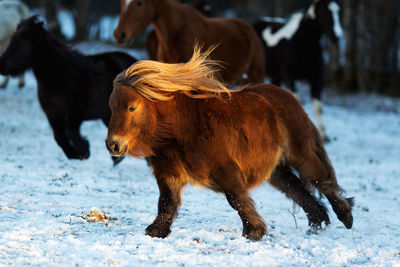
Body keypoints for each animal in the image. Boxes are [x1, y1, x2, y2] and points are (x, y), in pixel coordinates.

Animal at [0, 16, 138, 163]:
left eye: (22, 39)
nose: (1, 65)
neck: (61, 76)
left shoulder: (75, 113)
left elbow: (70, 132)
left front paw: (84, 150)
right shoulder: (53, 114)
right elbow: (59, 137)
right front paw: (74, 154)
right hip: (108, 116)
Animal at [104, 47, 352, 241]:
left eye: (132, 107)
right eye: (111, 107)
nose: (113, 145)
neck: (181, 131)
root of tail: (288, 97)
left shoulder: (226, 169)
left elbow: (236, 198)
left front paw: (254, 232)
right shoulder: (168, 174)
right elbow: (166, 202)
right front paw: (157, 231)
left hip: (301, 155)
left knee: (321, 180)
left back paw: (346, 216)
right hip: (277, 171)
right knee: (298, 190)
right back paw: (317, 223)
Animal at [255, 0, 342, 142]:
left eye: (338, 10)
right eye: (325, 11)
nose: (337, 36)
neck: (302, 42)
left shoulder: (317, 77)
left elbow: (318, 107)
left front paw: (324, 135)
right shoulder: (289, 77)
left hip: (275, 76)